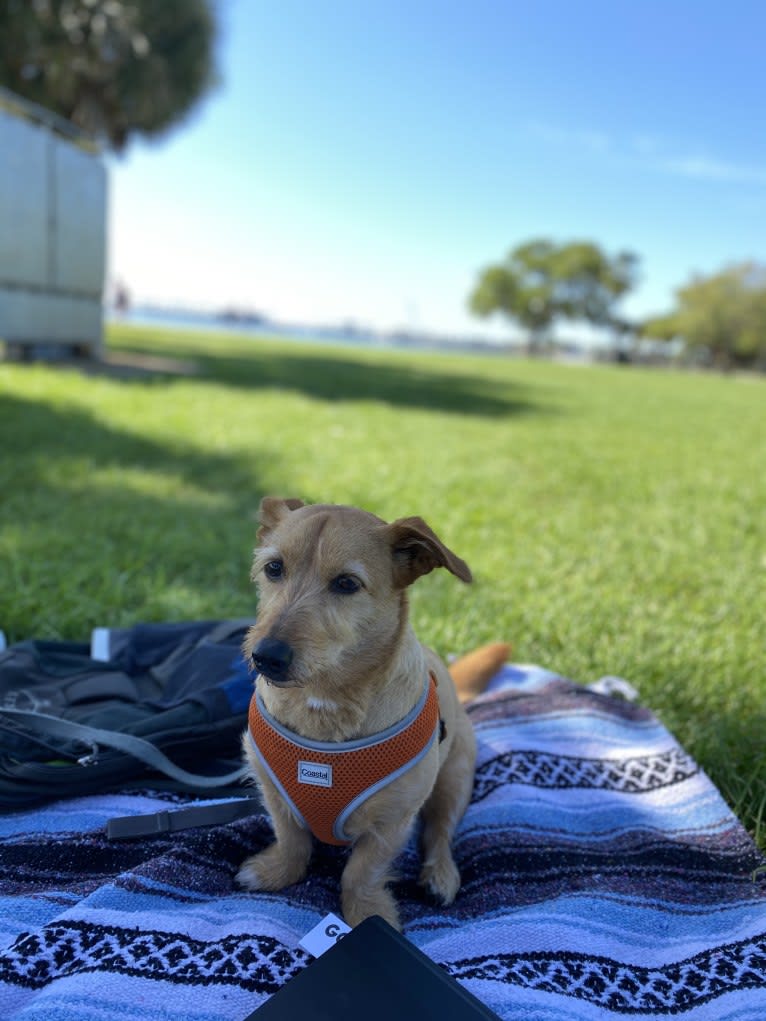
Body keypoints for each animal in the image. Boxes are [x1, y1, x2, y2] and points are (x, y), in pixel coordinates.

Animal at [235, 498, 510, 931]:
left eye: (347, 583)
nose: (266, 656)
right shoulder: (272, 791)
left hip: (455, 778)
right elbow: (292, 840)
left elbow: (360, 872)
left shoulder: (393, 822)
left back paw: (440, 873)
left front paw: (367, 913)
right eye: (274, 568)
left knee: (440, 831)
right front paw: (275, 872)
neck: (325, 701)